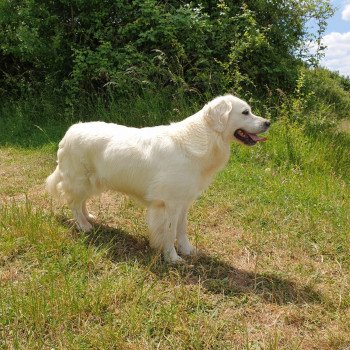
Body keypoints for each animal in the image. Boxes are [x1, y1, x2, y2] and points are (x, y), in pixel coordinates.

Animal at [46, 94, 270, 262]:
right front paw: (172, 258)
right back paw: (83, 226)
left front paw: (187, 250)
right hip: (80, 180)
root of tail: (70, 131)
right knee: (74, 203)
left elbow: (182, 229)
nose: (268, 122)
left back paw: (89, 217)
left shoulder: (184, 202)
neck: (205, 139)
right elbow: (169, 233)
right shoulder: (170, 203)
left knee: (81, 202)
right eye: (245, 112)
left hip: (93, 182)